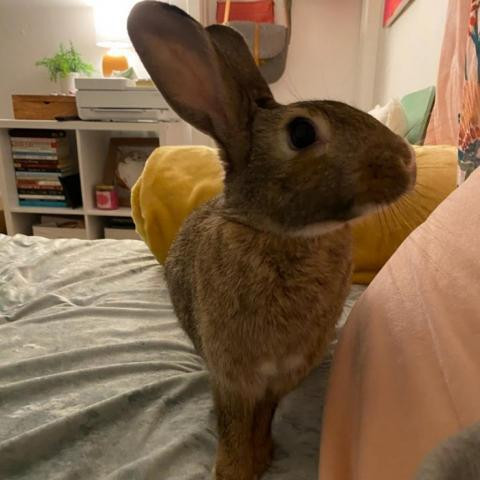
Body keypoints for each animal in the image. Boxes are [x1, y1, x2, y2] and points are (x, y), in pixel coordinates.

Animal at [127, 2, 416, 476]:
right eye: (301, 133)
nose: (408, 161)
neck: (281, 236)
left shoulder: (281, 375)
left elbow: (264, 417)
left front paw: (263, 457)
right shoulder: (233, 376)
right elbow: (233, 426)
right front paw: (233, 470)